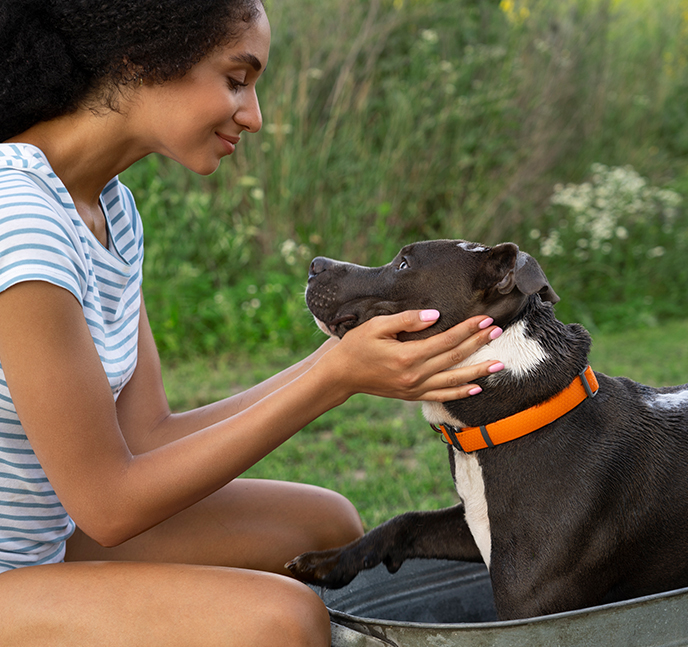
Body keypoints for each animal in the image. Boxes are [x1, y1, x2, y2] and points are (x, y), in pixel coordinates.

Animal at [286, 239, 688, 624]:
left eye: (403, 264)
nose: (315, 264)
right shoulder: (476, 525)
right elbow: (406, 522)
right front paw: (329, 562)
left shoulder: (528, 606)